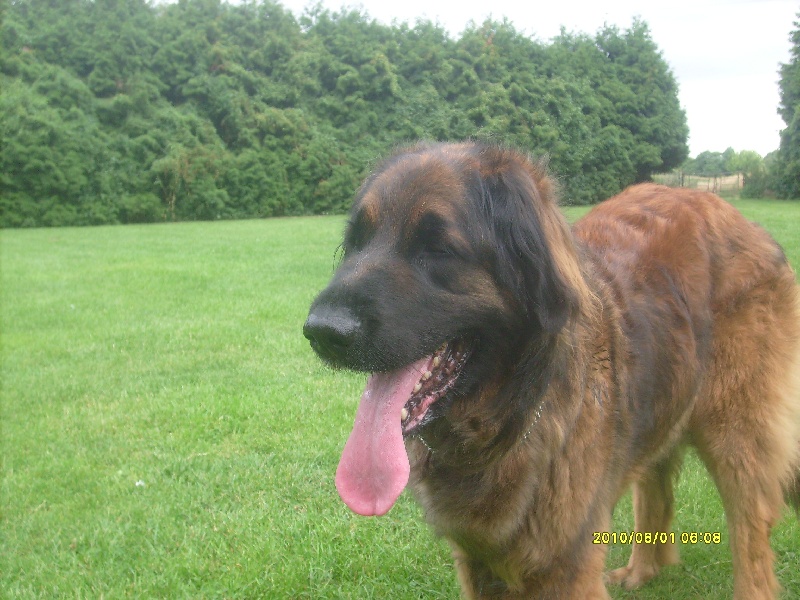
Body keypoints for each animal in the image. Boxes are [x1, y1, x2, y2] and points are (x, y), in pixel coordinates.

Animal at [303, 142, 800, 599]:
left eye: (438, 247)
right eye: (357, 241)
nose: (321, 330)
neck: (511, 416)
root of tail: (735, 215)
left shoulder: (568, 565)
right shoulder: (477, 559)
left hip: (736, 433)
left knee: (751, 533)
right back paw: (641, 571)